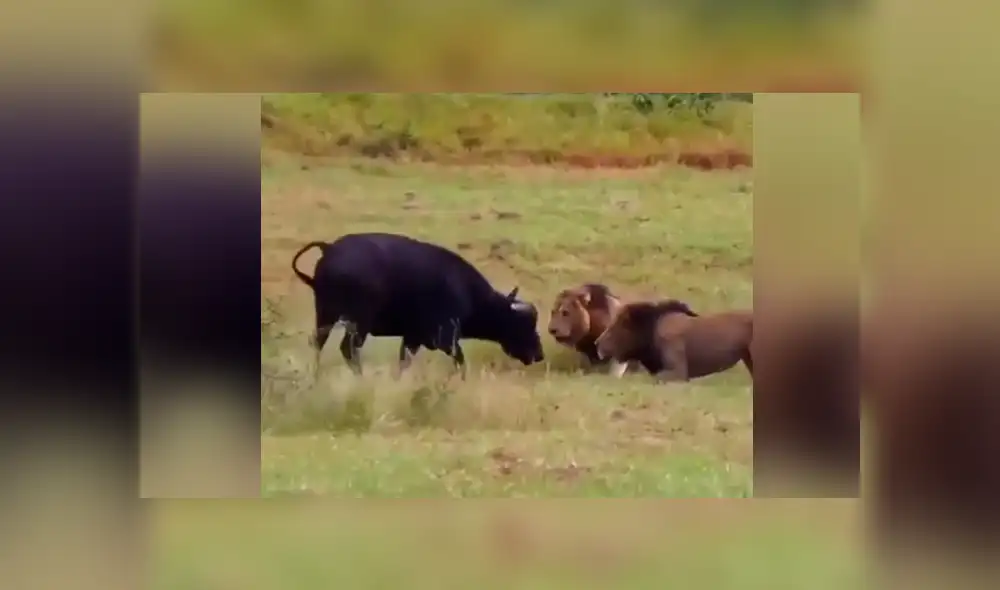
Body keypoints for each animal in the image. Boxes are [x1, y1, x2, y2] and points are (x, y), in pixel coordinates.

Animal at [291, 232, 545, 376]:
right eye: (524, 325)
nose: (539, 355)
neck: (465, 290)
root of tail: (330, 248)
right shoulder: (446, 339)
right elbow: (460, 361)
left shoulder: (412, 339)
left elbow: (404, 362)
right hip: (359, 322)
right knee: (349, 349)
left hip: (325, 315)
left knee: (318, 343)